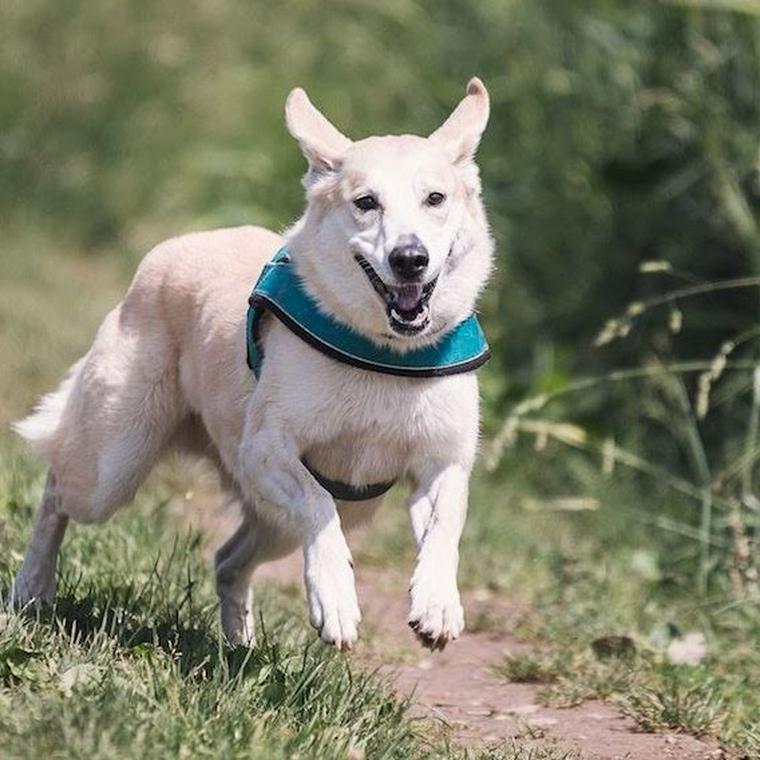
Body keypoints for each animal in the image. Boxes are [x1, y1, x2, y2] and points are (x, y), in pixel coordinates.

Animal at [8, 81, 496, 652]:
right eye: (366, 203)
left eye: (435, 199)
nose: (410, 259)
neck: (384, 354)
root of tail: (172, 248)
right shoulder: (266, 449)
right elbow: (317, 504)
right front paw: (335, 600)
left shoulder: (442, 464)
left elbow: (446, 525)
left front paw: (437, 604)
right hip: (112, 464)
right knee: (57, 492)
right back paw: (31, 588)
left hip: (281, 520)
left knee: (227, 560)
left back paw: (239, 646)